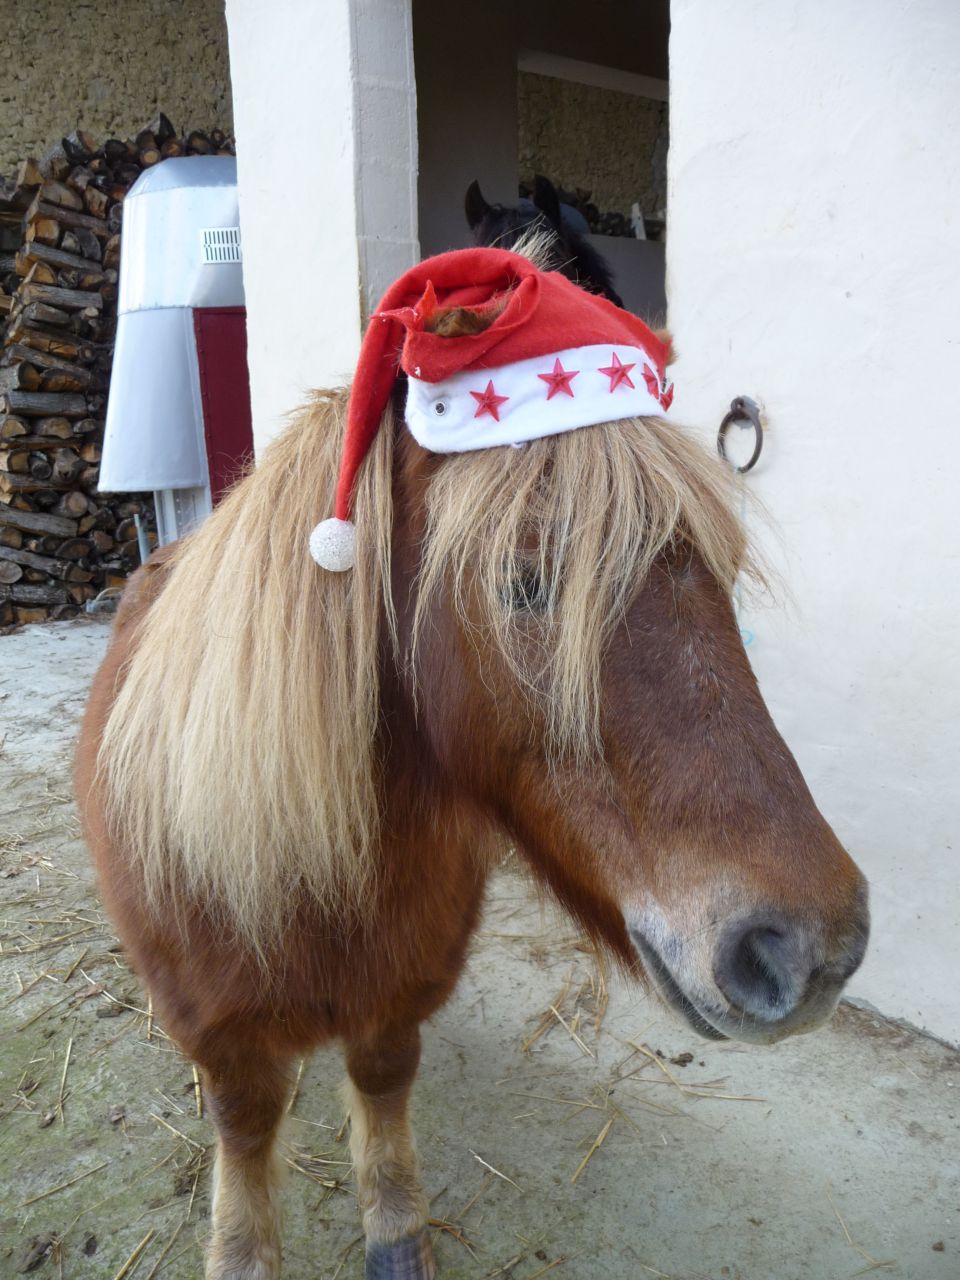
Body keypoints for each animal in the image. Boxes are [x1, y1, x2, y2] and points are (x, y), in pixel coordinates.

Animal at [76, 287, 869, 1279]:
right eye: (523, 582)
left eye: (721, 574)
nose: (813, 949)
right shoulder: (224, 1037)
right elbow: (245, 1135)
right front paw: (245, 1248)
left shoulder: (395, 993)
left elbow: (382, 1080)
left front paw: (394, 1228)